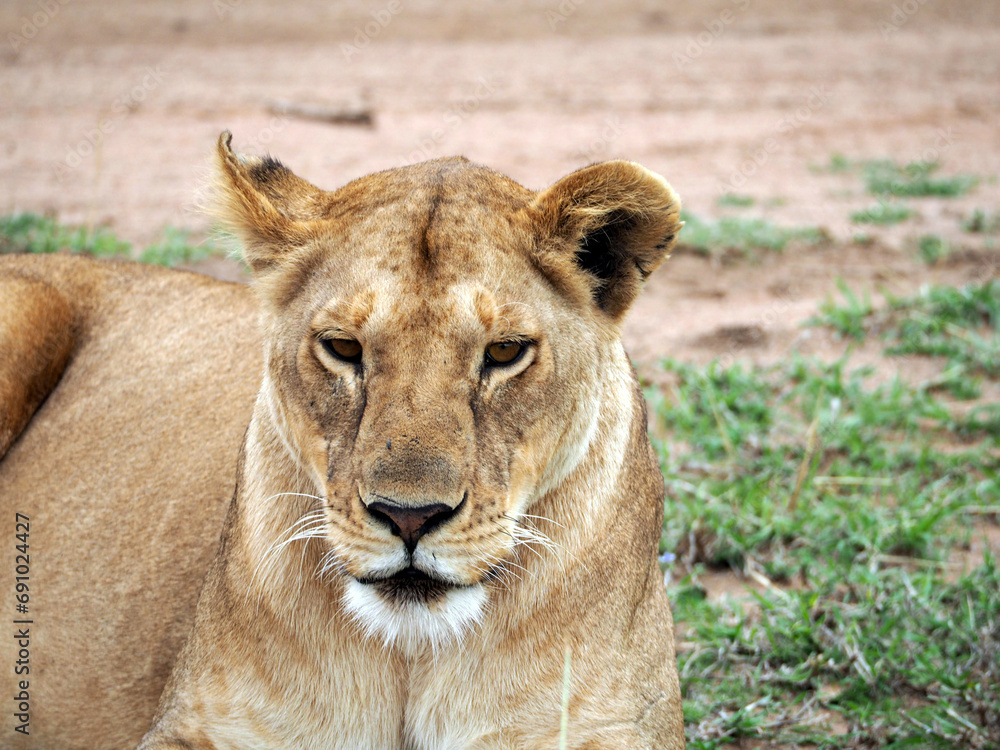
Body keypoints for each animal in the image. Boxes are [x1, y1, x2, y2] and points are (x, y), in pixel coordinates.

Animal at [0, 132, 686, 750]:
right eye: (343, 348)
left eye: (505, 352)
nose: (410, 518)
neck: (410, 657)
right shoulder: (189, 725)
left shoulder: (617, 728)